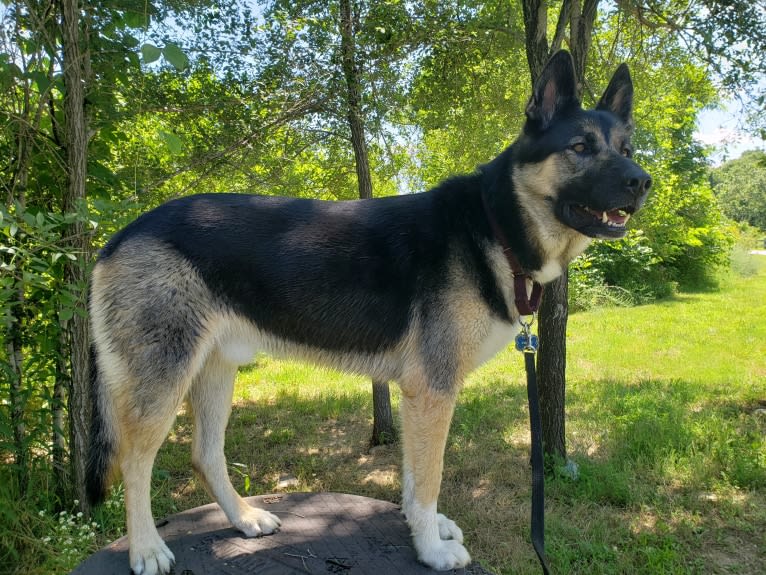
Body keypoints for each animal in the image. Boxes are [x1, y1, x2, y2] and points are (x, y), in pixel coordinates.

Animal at [88, 51, 656, 572]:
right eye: (580, 148)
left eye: (626, 150)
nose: (642, 181)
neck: (495, 224)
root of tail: (118, 237)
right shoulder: (433, 391)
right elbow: (428, 478)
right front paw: (431, 549)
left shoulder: (417, 395)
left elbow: (412, 477)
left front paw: (424, 529)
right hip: (162, 382)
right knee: (135, 463)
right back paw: (146, 549)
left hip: (215, 370)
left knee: (204, 455)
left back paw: (244, 519)